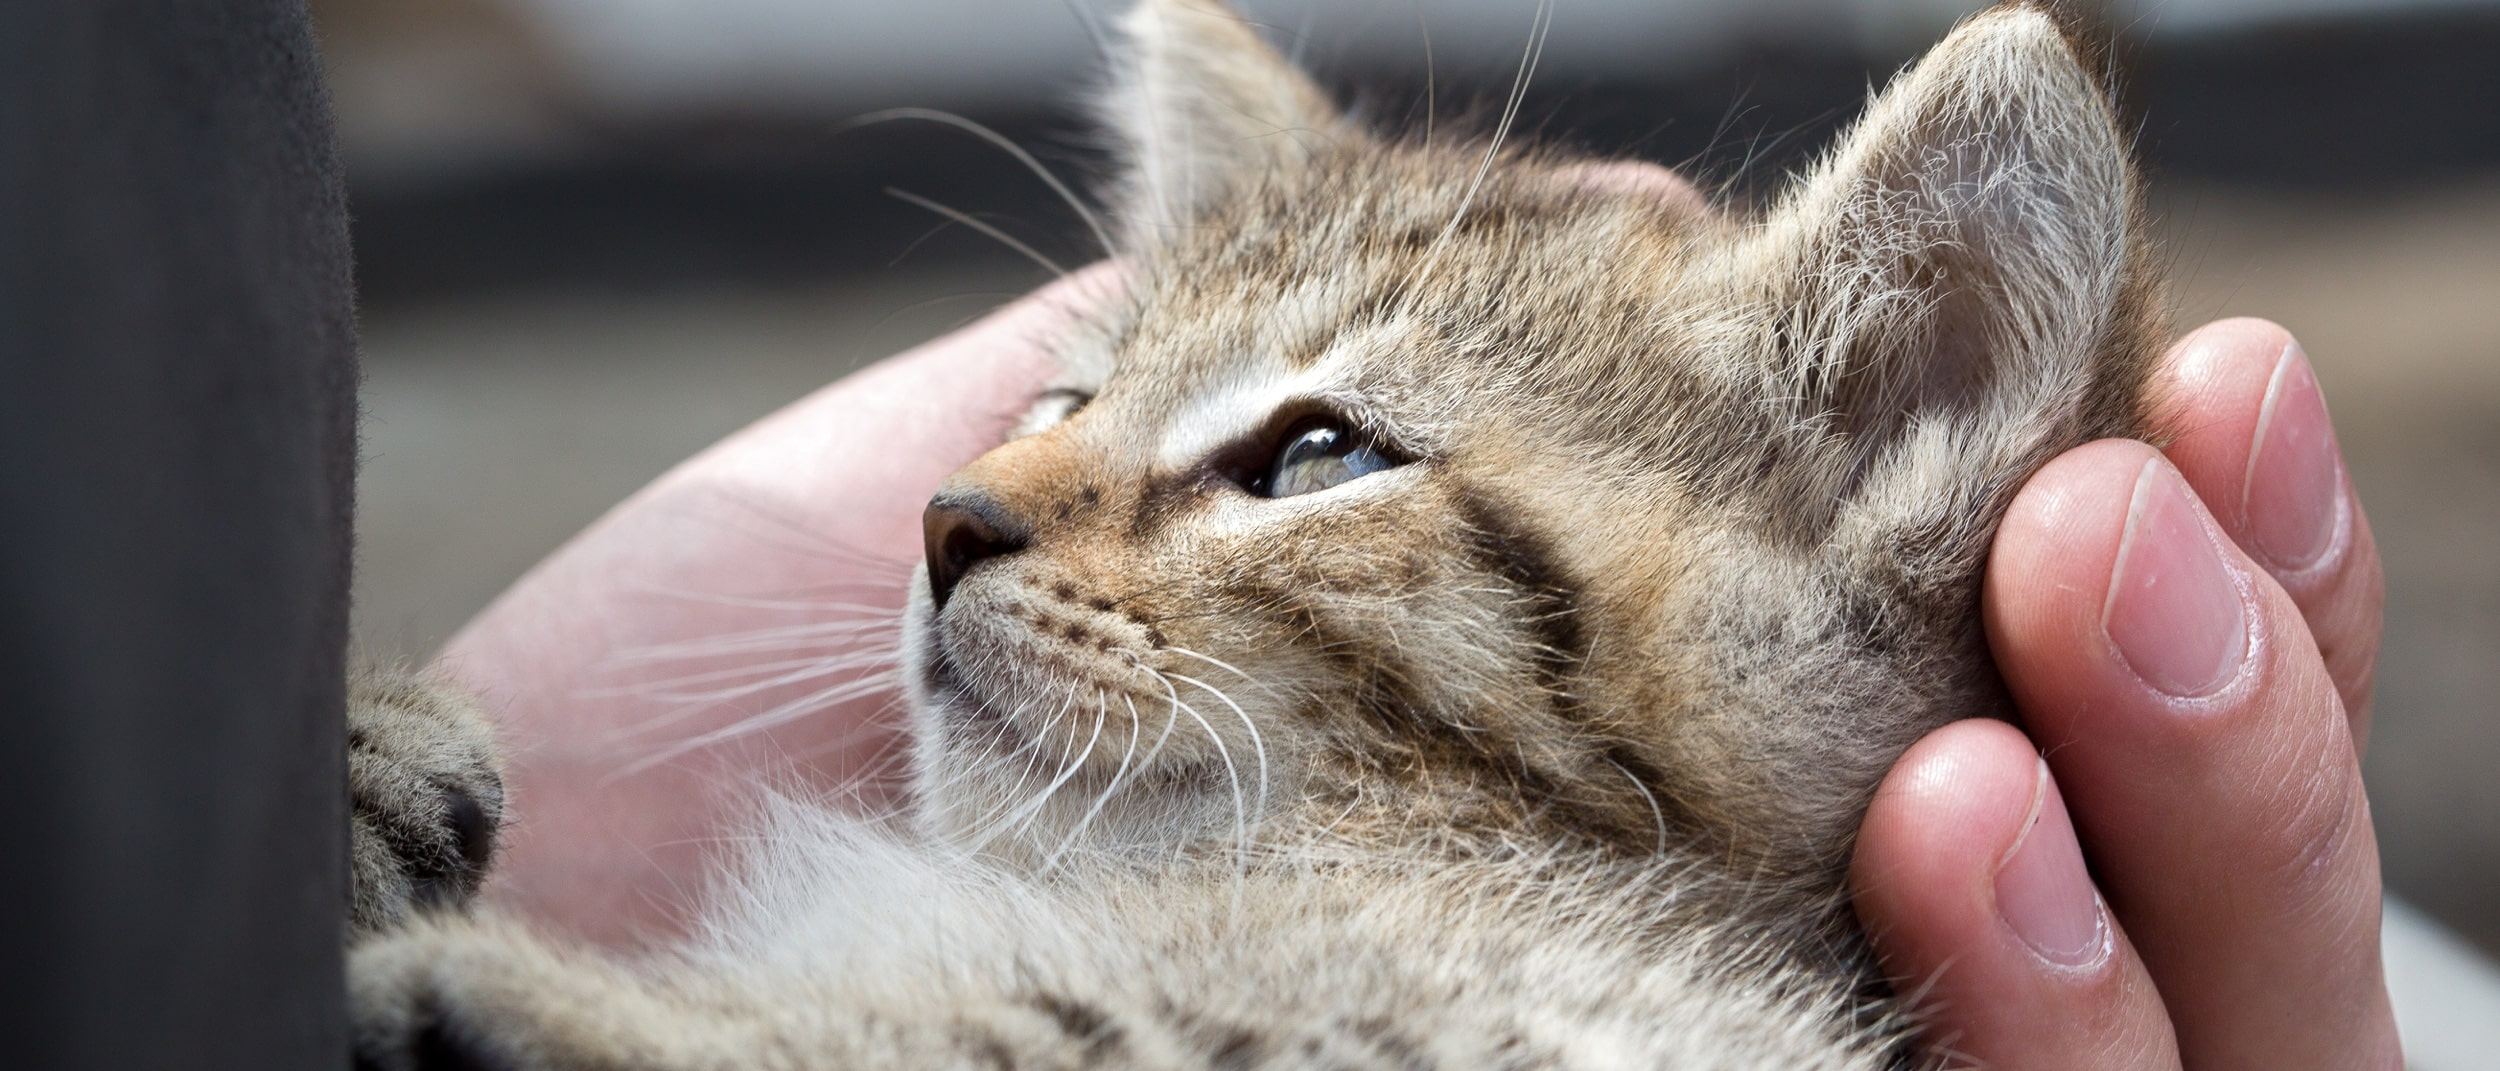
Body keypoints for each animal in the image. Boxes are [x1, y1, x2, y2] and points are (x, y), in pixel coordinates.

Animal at [342, 4, 2160, 1065]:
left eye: (1315, 458)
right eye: (1070, 392)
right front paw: (374, 756)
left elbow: (1046, 1030)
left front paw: (528, 1000)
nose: (946, 519)